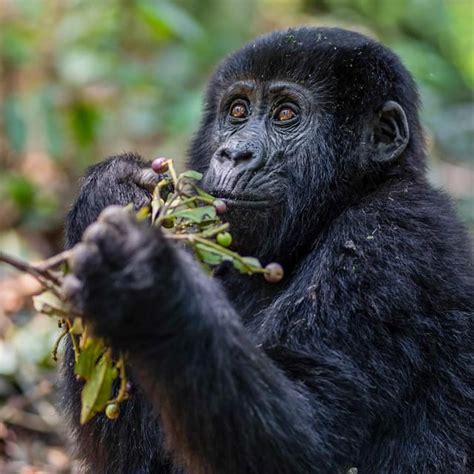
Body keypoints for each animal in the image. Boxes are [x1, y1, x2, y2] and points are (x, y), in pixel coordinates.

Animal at [61, 26, 472, 474]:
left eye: (286, 115)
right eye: (238, 111)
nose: (234, 153)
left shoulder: (389, 238)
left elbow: (312, 438)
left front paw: (148, 285)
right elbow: (147, 454)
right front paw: (111, 190)